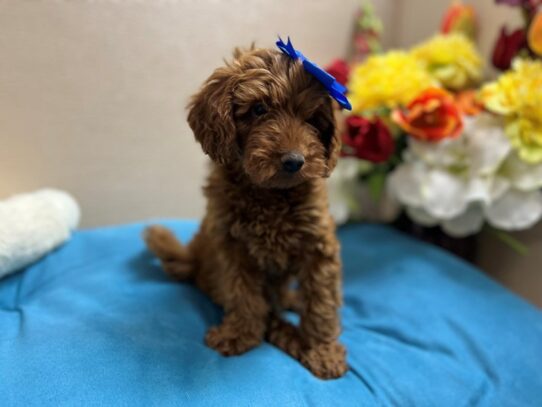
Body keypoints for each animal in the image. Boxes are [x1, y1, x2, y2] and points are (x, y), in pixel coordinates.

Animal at [144, 44, 348, 380]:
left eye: (311, 119)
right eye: (259, 110)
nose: (294, 161)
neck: (269, 193)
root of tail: (193, 259)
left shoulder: (318, 245)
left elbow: (322, 301)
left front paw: (322, 350)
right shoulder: (232, 245)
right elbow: (243, 295)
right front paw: (240, 335)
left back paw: (290, 301)